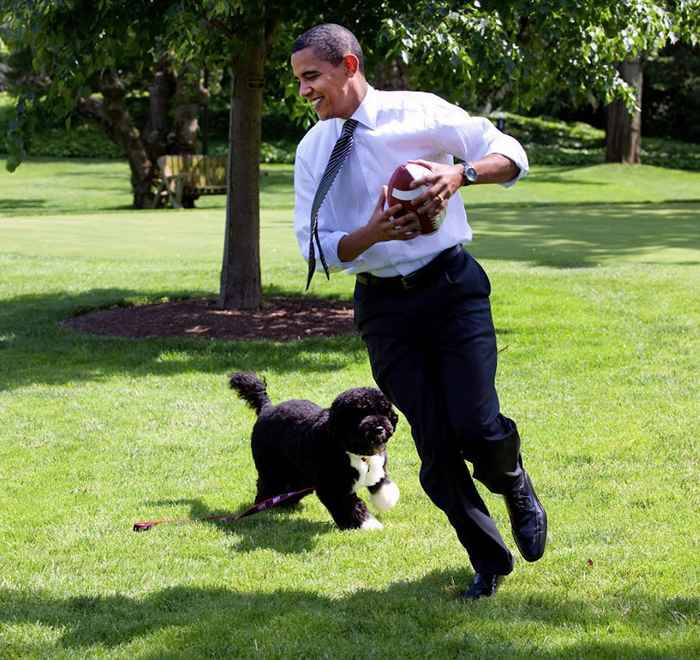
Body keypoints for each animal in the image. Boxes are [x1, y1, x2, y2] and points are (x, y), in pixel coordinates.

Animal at [230, 372, 400, 532]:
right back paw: (262, 506)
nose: (379, 428)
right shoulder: (332, 487)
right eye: (360, 413)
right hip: (272, 468)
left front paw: (386, 500)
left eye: (384, 412)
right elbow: (352, 506)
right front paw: (368, 525)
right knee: (266, 485)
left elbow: (381, 485)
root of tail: (267, 408)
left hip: (300, 475)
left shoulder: (377, 467)